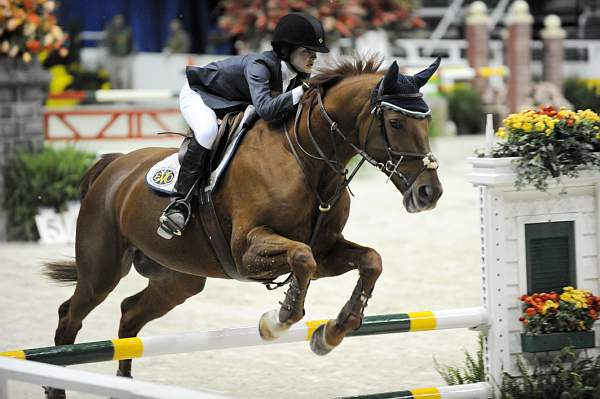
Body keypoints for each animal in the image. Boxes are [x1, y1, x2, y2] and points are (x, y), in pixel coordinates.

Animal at [44, 54, 442, 399]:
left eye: (427, 122)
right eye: (395, 123)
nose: (430, 193)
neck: (308, 161)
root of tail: (112, 167)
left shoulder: (327, 250)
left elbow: (370, 261)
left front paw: (330, 334)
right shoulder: (247, 251)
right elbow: (302, 259)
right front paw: (278, 320)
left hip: (178, 280)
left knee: (129, 314)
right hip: (101, 271)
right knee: (69, 317)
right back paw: (55, 384)